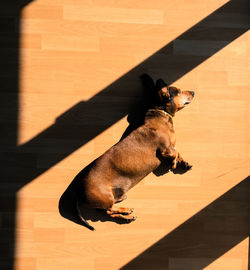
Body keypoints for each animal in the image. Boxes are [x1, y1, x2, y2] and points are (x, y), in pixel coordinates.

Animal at [76, 74, 195, 230]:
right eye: (179, 91)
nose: (193, 92)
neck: (160, 113)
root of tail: (78, 192)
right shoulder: (165, 148)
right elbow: (174, 153)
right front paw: (174, 164)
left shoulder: (170, 147)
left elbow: (178, 152)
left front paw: (184, 163)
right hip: (106, 197)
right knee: (109, 210)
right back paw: (126, 212)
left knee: (108, 212)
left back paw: (125, 214)